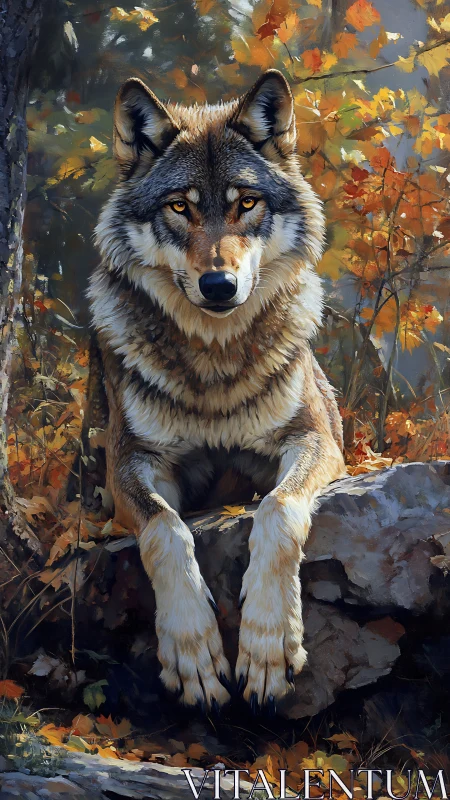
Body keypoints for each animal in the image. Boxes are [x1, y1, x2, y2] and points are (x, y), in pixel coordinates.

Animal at [88, 68, 346, 713]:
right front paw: (193, 654)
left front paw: (267, 646)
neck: (216, 366)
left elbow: (277, 510)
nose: (219, 285)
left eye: (245, 203)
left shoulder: (317, 440)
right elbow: (166, 531)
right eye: (180, 207)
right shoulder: (130, 464)